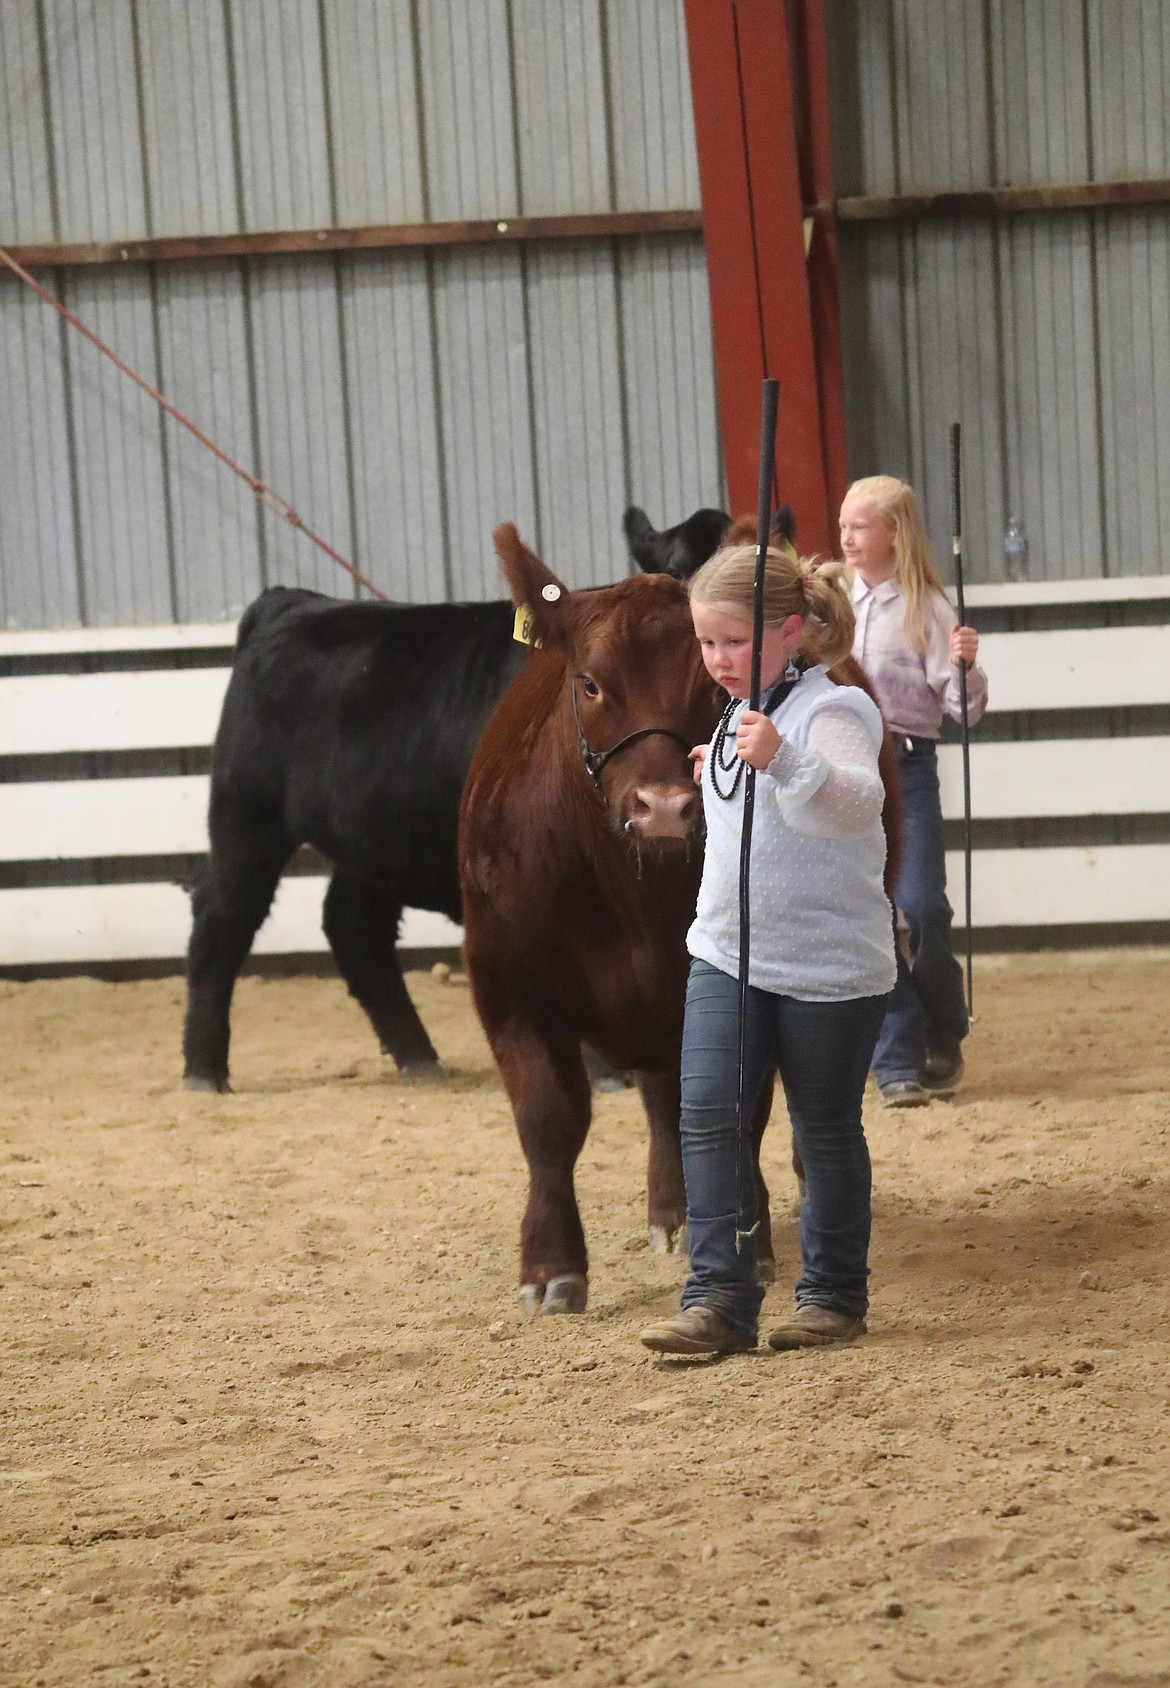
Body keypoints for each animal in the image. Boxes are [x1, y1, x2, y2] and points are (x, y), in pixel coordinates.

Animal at [180, 587, 523, 1087]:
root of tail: (295, 602)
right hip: (246, 820)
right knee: (223, 920)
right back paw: (204, 1070)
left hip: (374, 843)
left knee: (353, 925)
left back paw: (418, 1057)